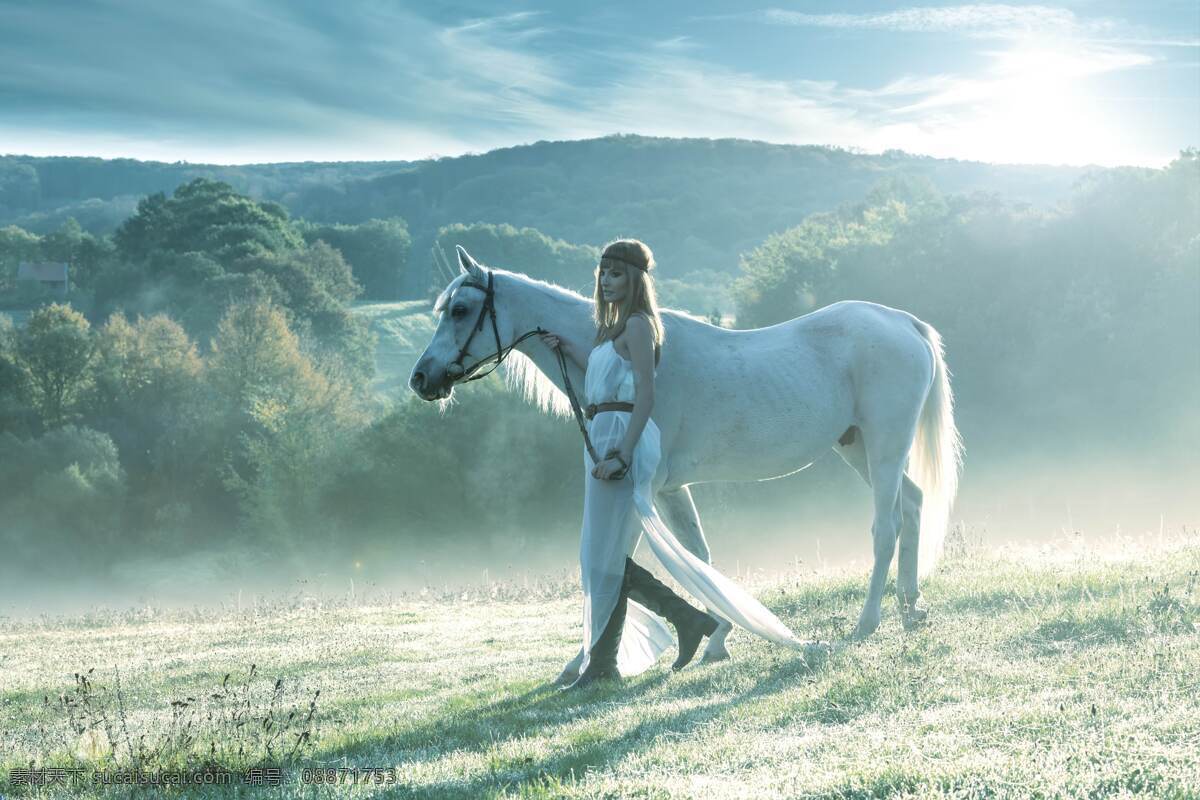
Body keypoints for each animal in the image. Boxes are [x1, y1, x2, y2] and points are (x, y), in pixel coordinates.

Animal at [410, 246, 963, 665]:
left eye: (460, 310)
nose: (421, 378)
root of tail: (902, 322)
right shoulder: (671, 490)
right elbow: (698, 555)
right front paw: (717, 637)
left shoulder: (638, 487)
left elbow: (614, 563)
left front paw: (585, 661)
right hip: (860, 449)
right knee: (913, 504)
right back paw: (911, 607)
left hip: (885, 446)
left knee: (887, 526)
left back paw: (868, 623)